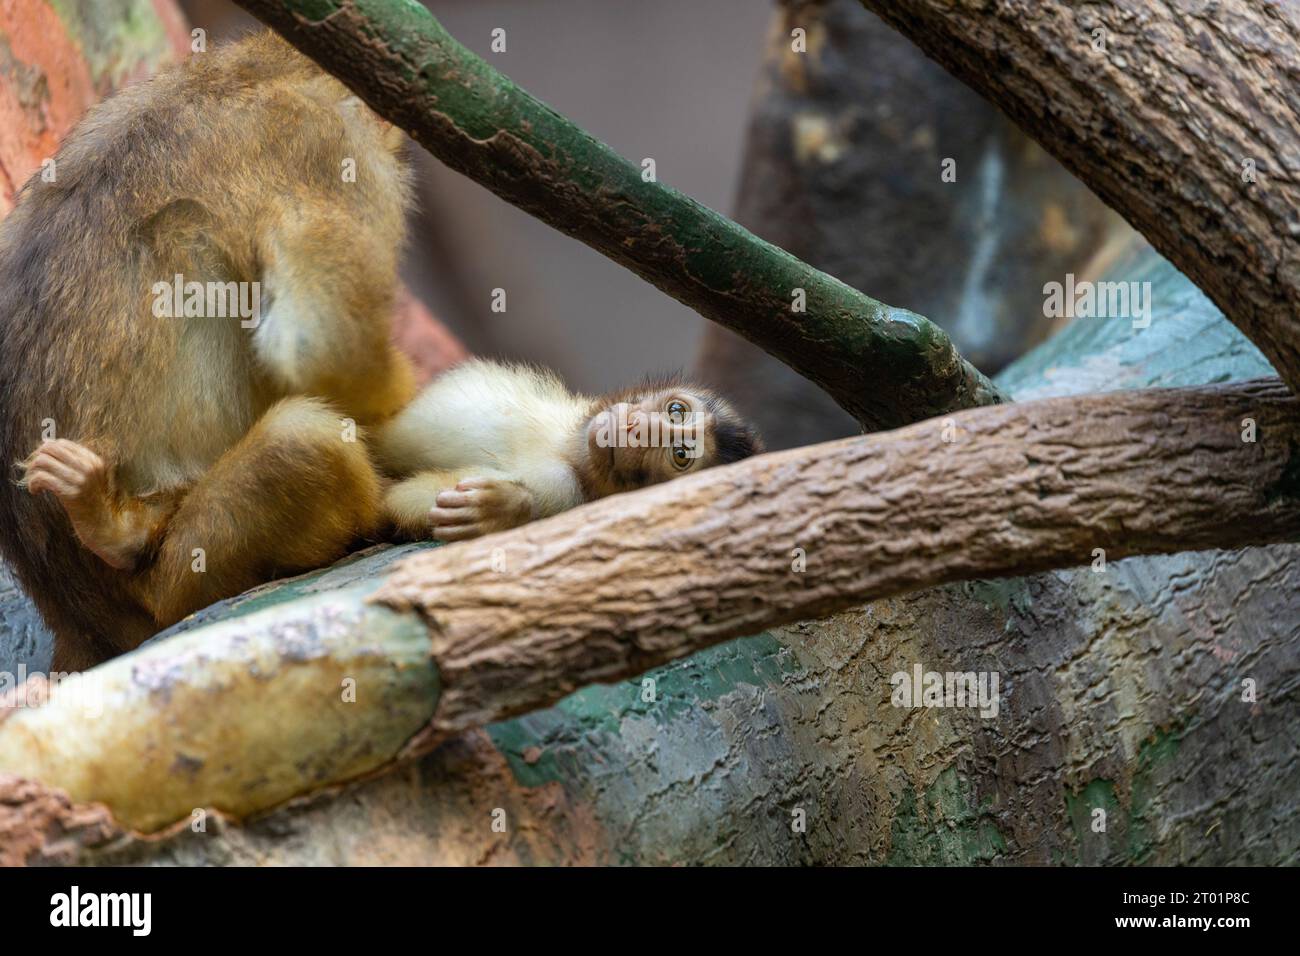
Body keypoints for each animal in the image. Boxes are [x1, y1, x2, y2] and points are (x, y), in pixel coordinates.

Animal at [377, 356, 759, 538]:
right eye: (676, 410)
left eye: (680, 455)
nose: (636, 427)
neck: (562, 446)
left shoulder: (562, 488)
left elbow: (401, 502)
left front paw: (503, 508)